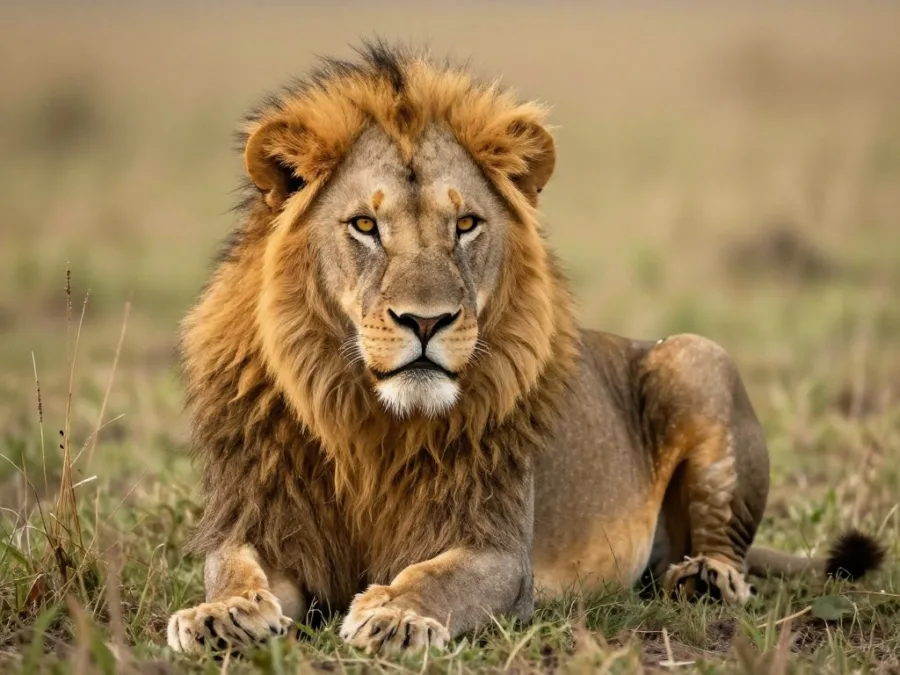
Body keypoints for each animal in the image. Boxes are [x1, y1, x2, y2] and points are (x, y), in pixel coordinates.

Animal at [167, 43, 884, 656]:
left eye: (465, 224)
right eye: (365, 225)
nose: (425, 321)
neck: (369, 423)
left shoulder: (499, 549)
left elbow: (437, 578)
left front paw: (397, 614)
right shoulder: (262, 517)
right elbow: (233, 566)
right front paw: (218, 615)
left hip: (694, 358)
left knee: (724, 542)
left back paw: (707, 576)